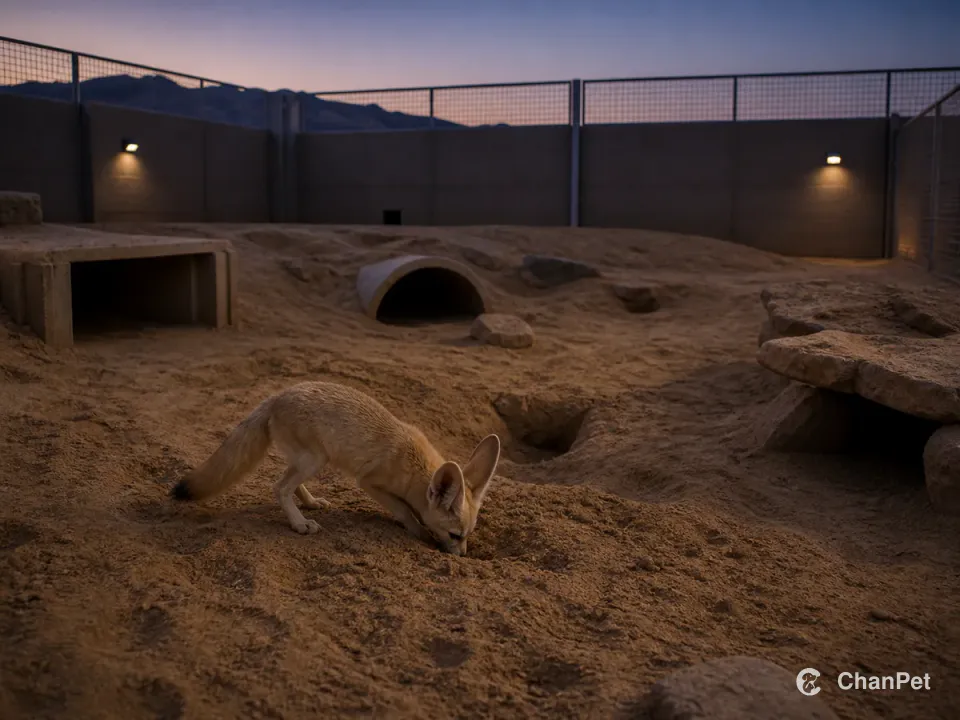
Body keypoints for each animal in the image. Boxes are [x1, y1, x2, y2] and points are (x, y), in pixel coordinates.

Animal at [170, 380, 500, 556]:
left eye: (467, 535)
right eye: (455, 535)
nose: (461, 556)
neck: (413, 464)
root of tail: (276, 396)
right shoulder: (370, 483)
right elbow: (405, 510)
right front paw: (418, 530)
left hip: (309, 459)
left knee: (288, 483)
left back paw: (310, 504)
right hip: (315, 460)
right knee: (279, 487)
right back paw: (299, 523)